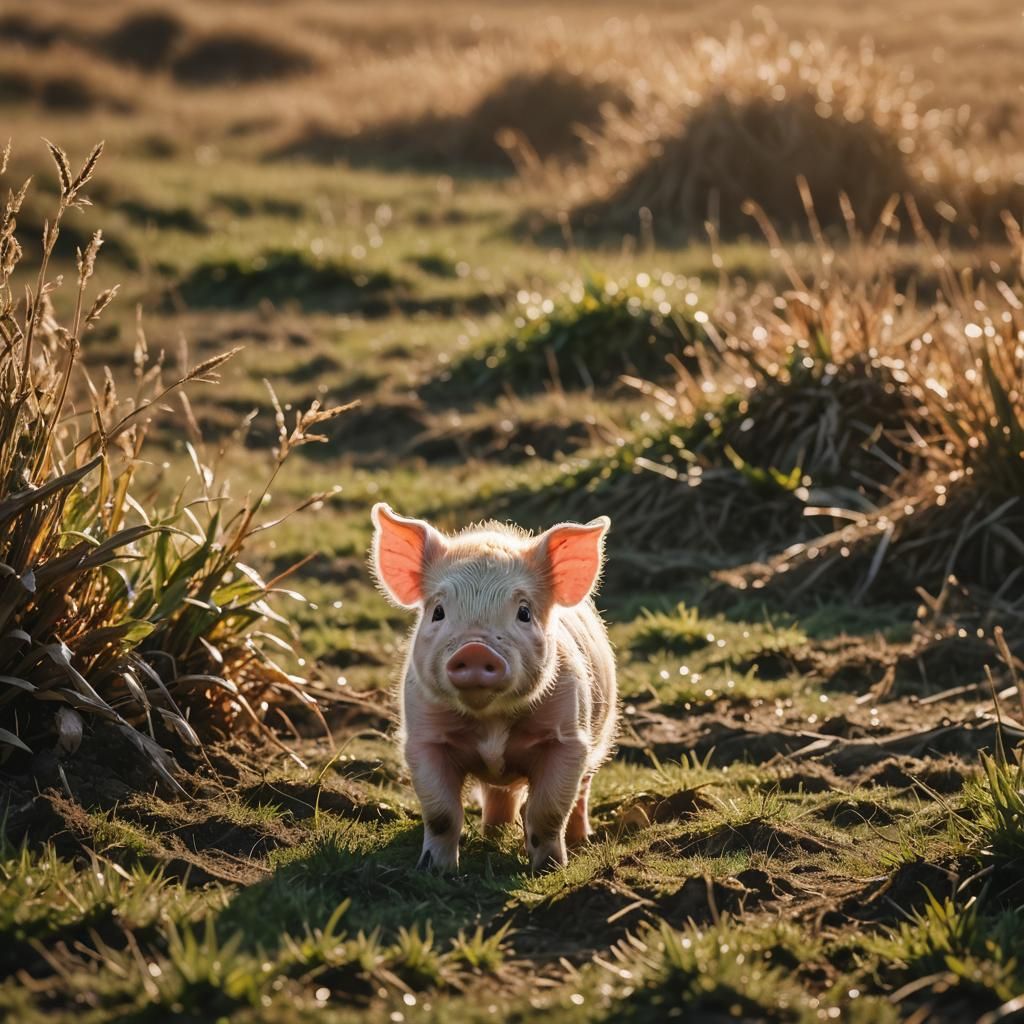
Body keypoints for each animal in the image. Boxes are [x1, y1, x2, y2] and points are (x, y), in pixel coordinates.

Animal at [369, 503, 618, 873]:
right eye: (438, 611)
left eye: (524, 612)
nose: (475, 649)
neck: (491, 724)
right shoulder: (423, 738)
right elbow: (441, 814)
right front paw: (435, 871)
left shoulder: (569, 739)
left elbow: (547, 812)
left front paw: (549, 869)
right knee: (498, 794)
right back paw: (492, 834)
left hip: (597, 740)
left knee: (580, 794)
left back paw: (581, 840)